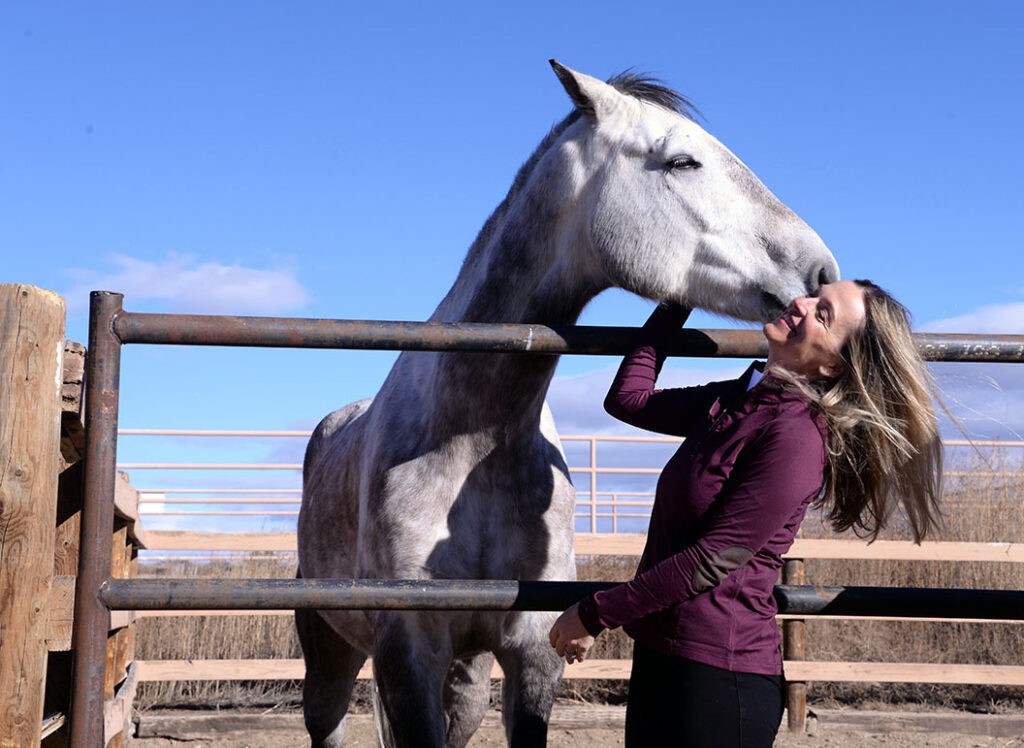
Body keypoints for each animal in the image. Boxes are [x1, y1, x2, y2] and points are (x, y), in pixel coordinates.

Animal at [299, 61, 839, 741]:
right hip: (328, 649)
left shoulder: (532, 652)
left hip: (467, 675)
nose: (822, 273)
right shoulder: (408, 652)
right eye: (682, 161)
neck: (476, 440)